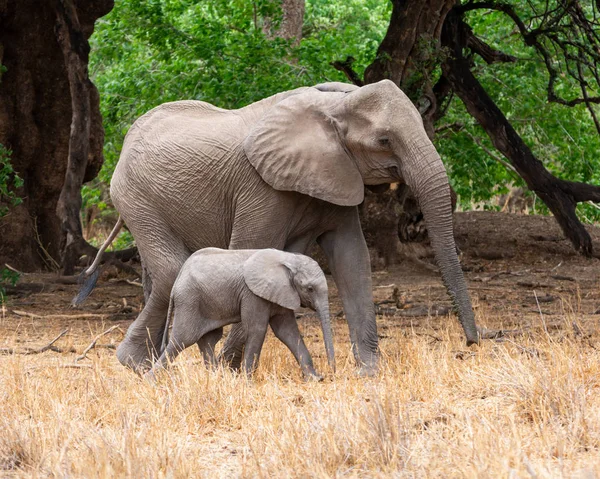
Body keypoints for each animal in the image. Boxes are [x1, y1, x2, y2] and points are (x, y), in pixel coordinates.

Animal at [145, 249, 332, 380]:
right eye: (309, 288)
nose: (331, 374)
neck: (288, 259)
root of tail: (178, 279)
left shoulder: (282, 292)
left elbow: (287, 332)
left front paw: (314, 379)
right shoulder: (253, 294)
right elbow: (257, 329)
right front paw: (247, 381)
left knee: (208, 339)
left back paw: (218, 378)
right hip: (188, 300)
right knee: (182, 340)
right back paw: (149, 380)